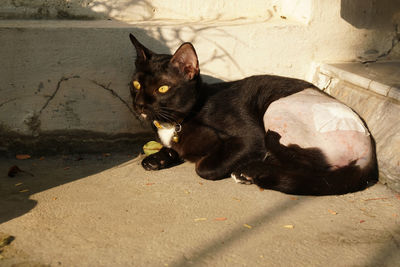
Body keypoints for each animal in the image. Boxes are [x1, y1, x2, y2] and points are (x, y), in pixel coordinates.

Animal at [128, 34, 378, 197]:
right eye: (136, 84)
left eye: (162, 88)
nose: (139, 104)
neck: (178, 122)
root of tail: (368, 153)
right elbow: (172, 150)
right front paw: (159, 158)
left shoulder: (249, 138)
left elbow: (204, 167)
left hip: (276, 110)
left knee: (307, 167)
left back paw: (250, 171)